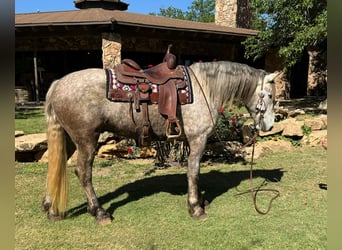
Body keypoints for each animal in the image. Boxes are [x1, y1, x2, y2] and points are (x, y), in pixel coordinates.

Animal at [42, 61, 278, 225]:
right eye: (268, 95)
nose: (269, 125)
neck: (205, 87)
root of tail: (58, 84)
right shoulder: (198, 139)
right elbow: (193, 172)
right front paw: (195, 208)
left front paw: (200, 201)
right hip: (87, 140)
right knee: (83, 173)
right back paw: (99, 212)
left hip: (68, 139)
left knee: (55, 166)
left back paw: (52, 209)